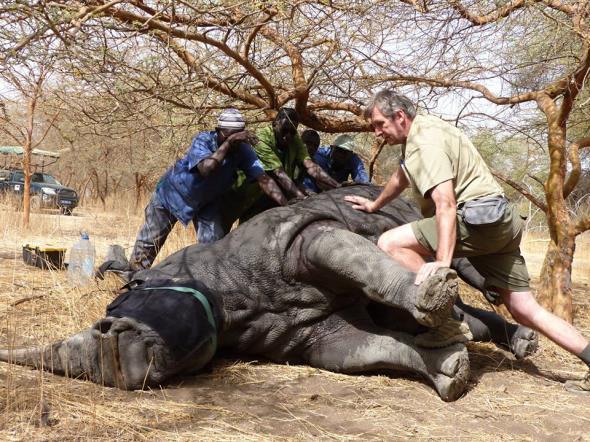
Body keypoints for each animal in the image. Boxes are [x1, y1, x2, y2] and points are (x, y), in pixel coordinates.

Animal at [0, 185, 540, 402]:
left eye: (118, 309)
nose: (111, 345)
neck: (221, 293)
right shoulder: (311, 338)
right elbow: (371, 350)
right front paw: (448, 370)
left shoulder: (301, 236)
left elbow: (360, 264)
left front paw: (432, 309)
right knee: (459, 317)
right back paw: (493, 335)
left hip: (424, 207)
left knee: (468, 264)